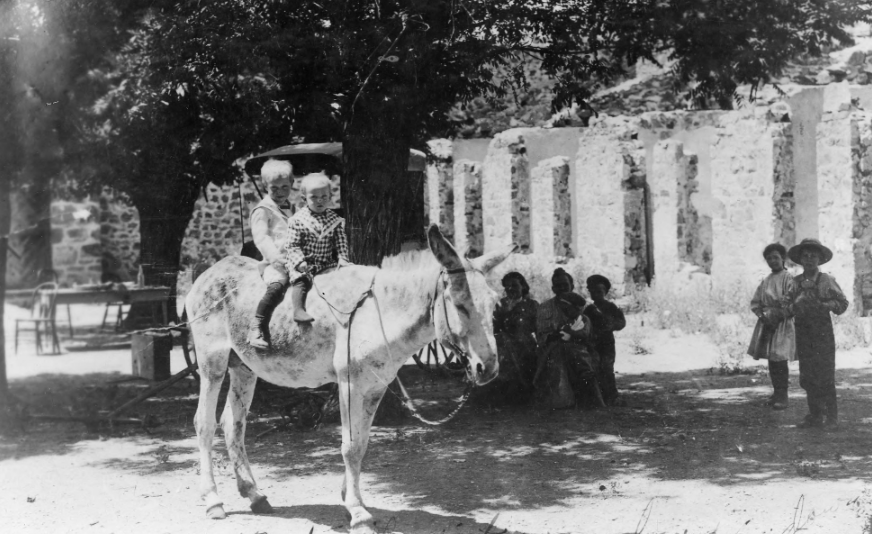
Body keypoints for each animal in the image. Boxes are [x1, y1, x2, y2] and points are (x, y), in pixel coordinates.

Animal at [186, 225, 515, 534]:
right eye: (460, 304)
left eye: (494, 303)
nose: (489, 368)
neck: (380, 311)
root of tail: (208, 273)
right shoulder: (350, 386)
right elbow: (350, 447)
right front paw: (358, 513)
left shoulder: (375, 387)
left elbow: (361, 445)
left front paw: (350, 500)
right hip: (212, 364)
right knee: (204, 423)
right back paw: (213, 501)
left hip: (243, 369)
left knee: (233, 425)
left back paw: (255, 495)